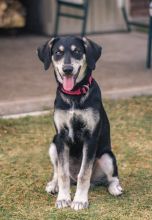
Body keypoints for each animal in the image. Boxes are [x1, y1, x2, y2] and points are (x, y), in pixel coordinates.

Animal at [37, 36, 123, 211]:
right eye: (58, 53)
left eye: (77, 51)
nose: (67, 69)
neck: (74, 95)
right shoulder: (61, 137)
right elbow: (62, 173)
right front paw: (63, 198)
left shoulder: (90, 138)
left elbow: (84, 174)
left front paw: (80, 201)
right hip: (53, 145)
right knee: (58, 170)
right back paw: (53, 185)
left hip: (107, 156)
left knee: (111, 177)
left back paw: (115, 188)